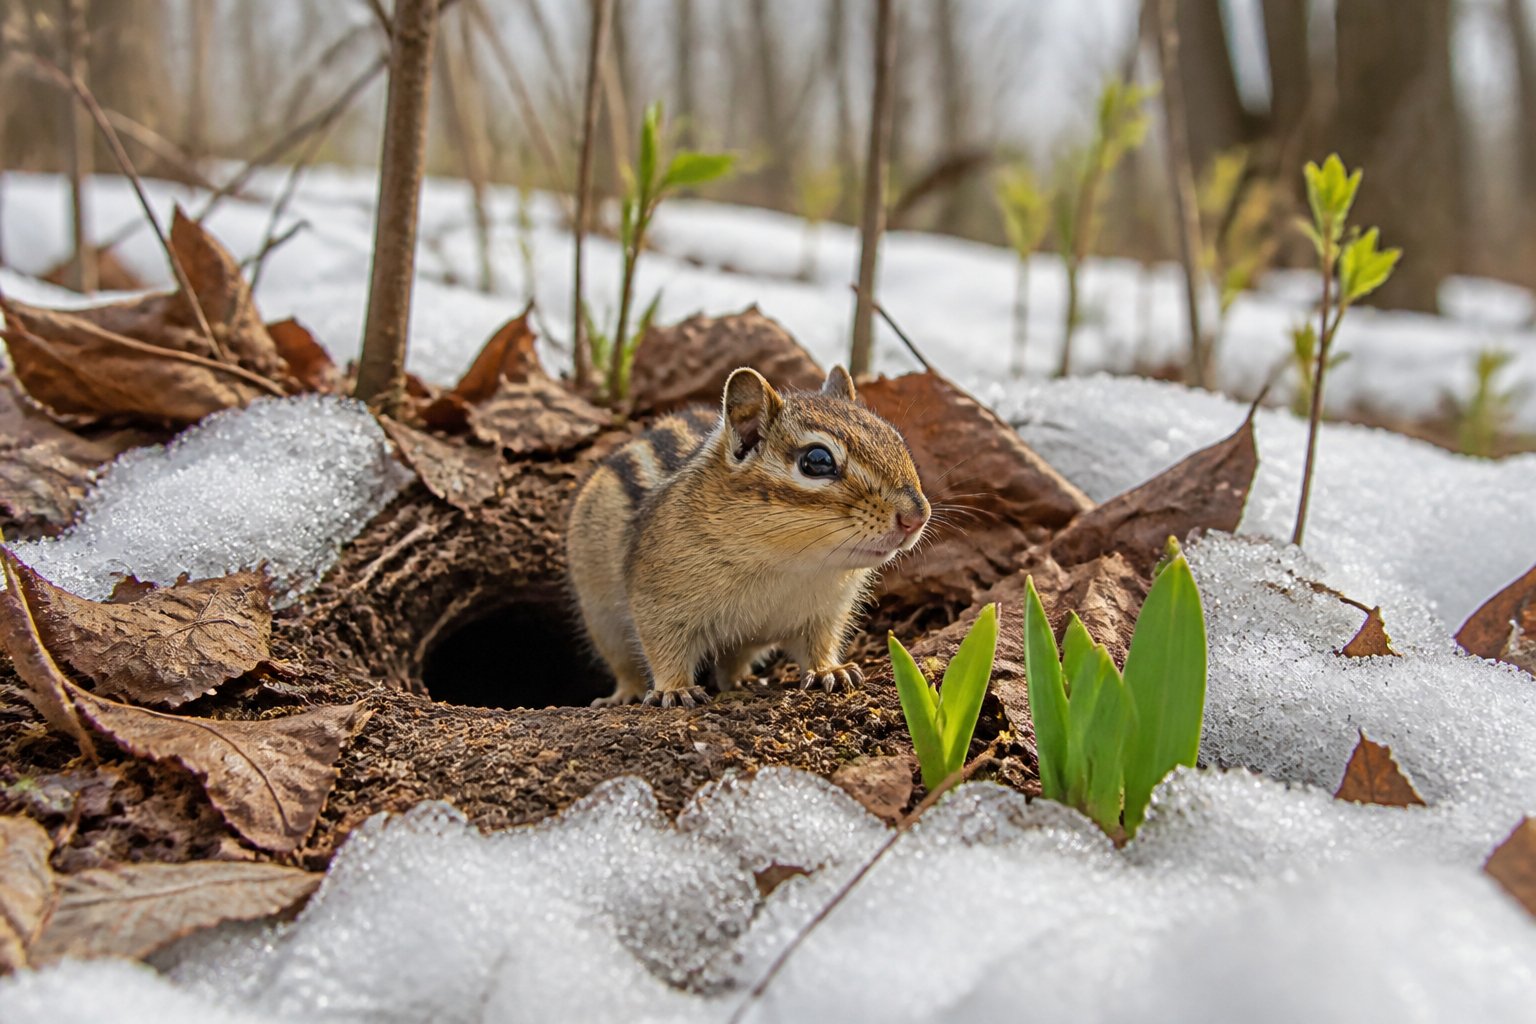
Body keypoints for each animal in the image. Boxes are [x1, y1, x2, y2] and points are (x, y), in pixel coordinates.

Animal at [566, 365, 930, 708]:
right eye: (817, 460)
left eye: (894, 437)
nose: (916, 517)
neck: (788, 563)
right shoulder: (656, 601)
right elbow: (665, 649)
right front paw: (676, 689)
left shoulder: (826, 613)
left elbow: (820, 644)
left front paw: (830, 670)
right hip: (602, 621)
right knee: (625, 665)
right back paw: (625, 694)